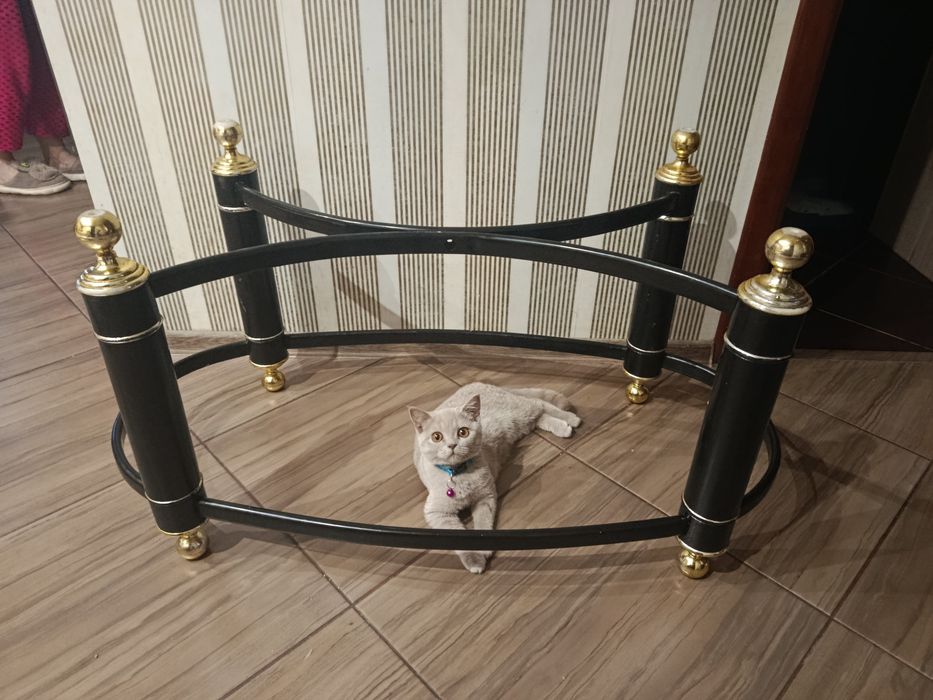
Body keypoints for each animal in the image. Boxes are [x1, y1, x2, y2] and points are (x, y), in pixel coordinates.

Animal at [408, 382, 581, 573]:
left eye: (463, 432)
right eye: (436, 437)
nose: (452, 445)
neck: (459, 474)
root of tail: (481, 383)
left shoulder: (486, 496)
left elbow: (483, 524)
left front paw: (483, 549)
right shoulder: (437, 512)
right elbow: (457, 536)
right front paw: (475, 560)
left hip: (518, 411)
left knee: (539, 404)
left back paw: (570, 419)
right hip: (519, 424)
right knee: (539, 416)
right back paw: (562, 425)